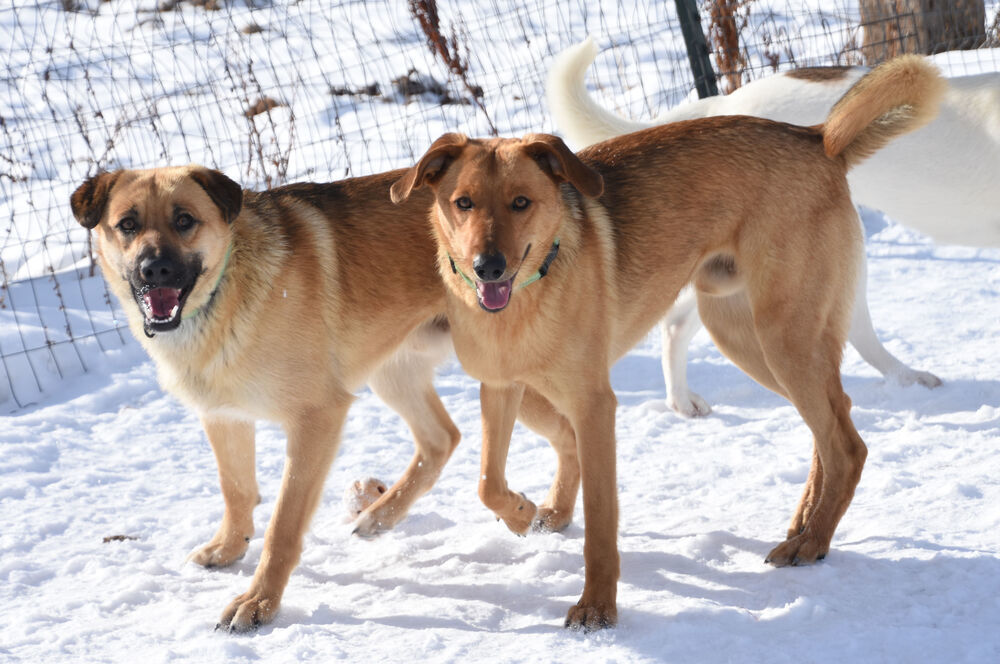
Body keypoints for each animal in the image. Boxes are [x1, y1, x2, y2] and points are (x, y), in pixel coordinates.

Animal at [392, 55, 944, 628]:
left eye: (521, 202)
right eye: (463, 203)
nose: (487, 266)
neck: (528, 296)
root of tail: (817, 139)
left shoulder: (595, 407)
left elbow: (600, 522)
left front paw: (597, 607)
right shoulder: (500, 389)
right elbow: (487, 481)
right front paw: (524, 513)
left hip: (785, 338)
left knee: (847, 444)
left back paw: (811, 542)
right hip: (748, 338)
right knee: (835, 422)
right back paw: (804, 525)